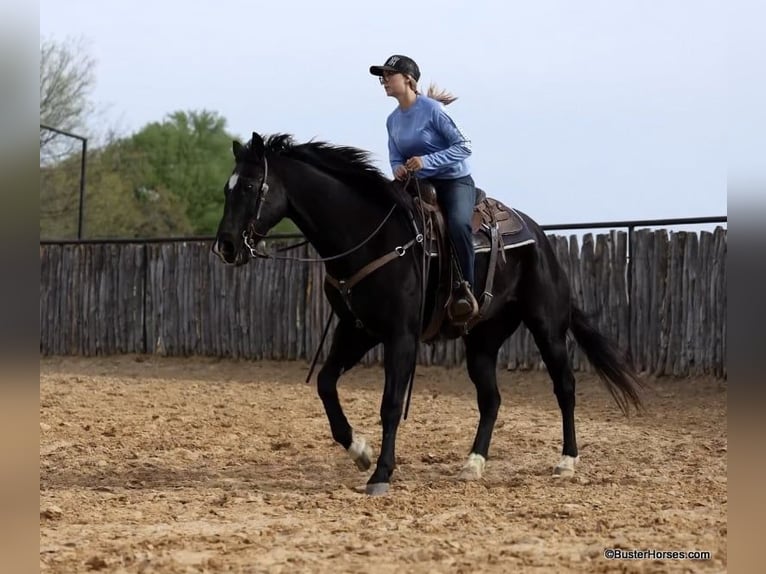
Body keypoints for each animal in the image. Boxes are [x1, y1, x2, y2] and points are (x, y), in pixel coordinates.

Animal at [213, 133, 644, 498]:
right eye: (226, 189)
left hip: (547, 326)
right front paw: (359, 451)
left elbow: (390, 403)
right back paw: (473, 464)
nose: (227, 246)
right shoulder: (356, 331)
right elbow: (325, 383)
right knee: (491, 399)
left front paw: (381, 473)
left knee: (565, 387)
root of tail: (539, 236)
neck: (367, 236)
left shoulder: (400, 336)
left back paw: (567, 461)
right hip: (482, 340)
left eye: (249, 187)